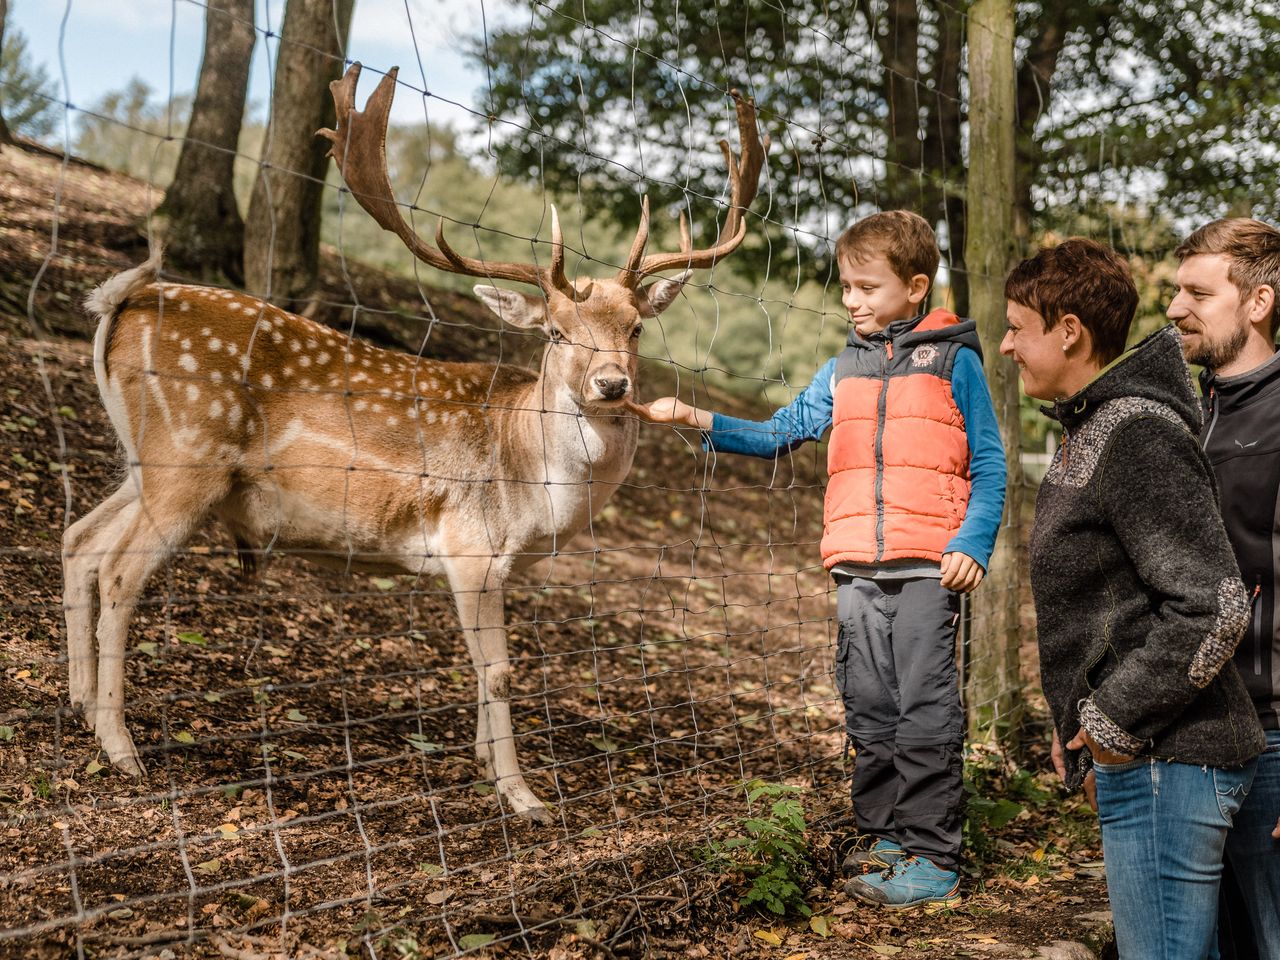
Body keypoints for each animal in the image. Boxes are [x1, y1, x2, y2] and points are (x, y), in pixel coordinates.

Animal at [62, 60, 768, 824]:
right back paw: (121, 748)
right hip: (186, 455)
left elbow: (484, 667)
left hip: (147, 465)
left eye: (636, 327)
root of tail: (118, 303)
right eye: (556, 332)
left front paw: (486, 764)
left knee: (80, 539)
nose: (612, 383)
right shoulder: (470, 546)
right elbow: (498, 668)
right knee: (121, 570)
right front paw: (523, 795)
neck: (534, 489)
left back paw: (80, 706)